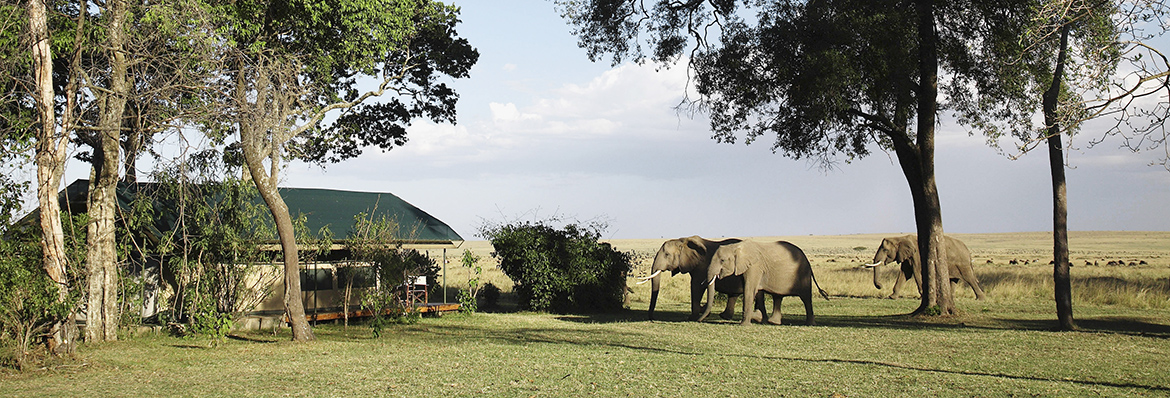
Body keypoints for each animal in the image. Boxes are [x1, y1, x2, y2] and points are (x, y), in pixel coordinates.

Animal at [697, 239, 828, 325]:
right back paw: (773, 322)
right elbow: (751, 289)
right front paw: (758, 317)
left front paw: (747, 323)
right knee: (777, 297)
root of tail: (807, 259)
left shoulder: (755, 266)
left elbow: (749, 290)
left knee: (806, 298)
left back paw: (810, 324)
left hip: (803, 274)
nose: (698, 320)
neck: (736, 247)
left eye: (723, 260)